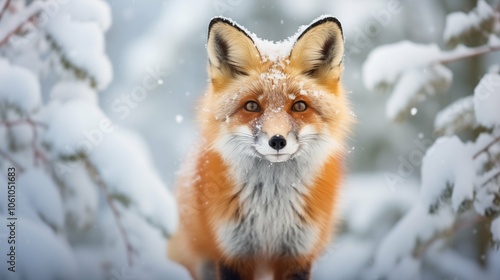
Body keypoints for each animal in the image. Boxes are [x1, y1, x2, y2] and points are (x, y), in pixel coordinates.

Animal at [168, 15, 352, 280]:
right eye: (252, 106)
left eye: (299, 106)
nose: (277, 141)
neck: (271, 212)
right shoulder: (232, 252)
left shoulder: (297, 254)